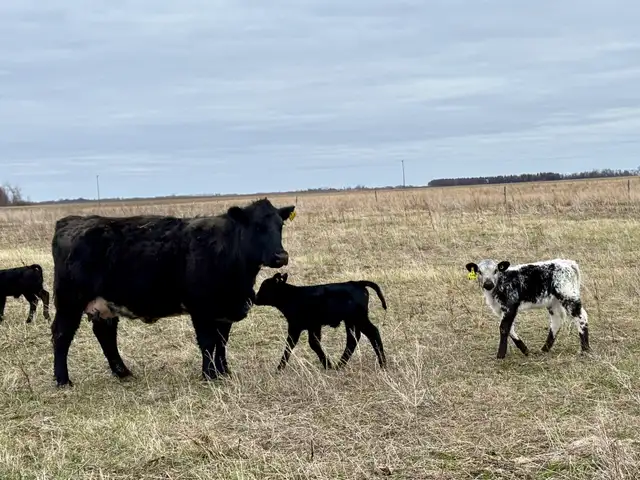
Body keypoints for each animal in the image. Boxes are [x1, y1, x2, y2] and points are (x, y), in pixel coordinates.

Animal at [50, 198, 295, 387]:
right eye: (257, 227)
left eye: (280, 225)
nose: (281, 256)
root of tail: (71, 221)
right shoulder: (202, 309)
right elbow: (208, 343)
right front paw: (209, 375)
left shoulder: (225, 309)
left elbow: (222, 342)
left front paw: (224, 372)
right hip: (69, 301)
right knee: (61, 335)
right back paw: (63, 381)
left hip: (105, 303)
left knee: (105, 334)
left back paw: (123, 372)